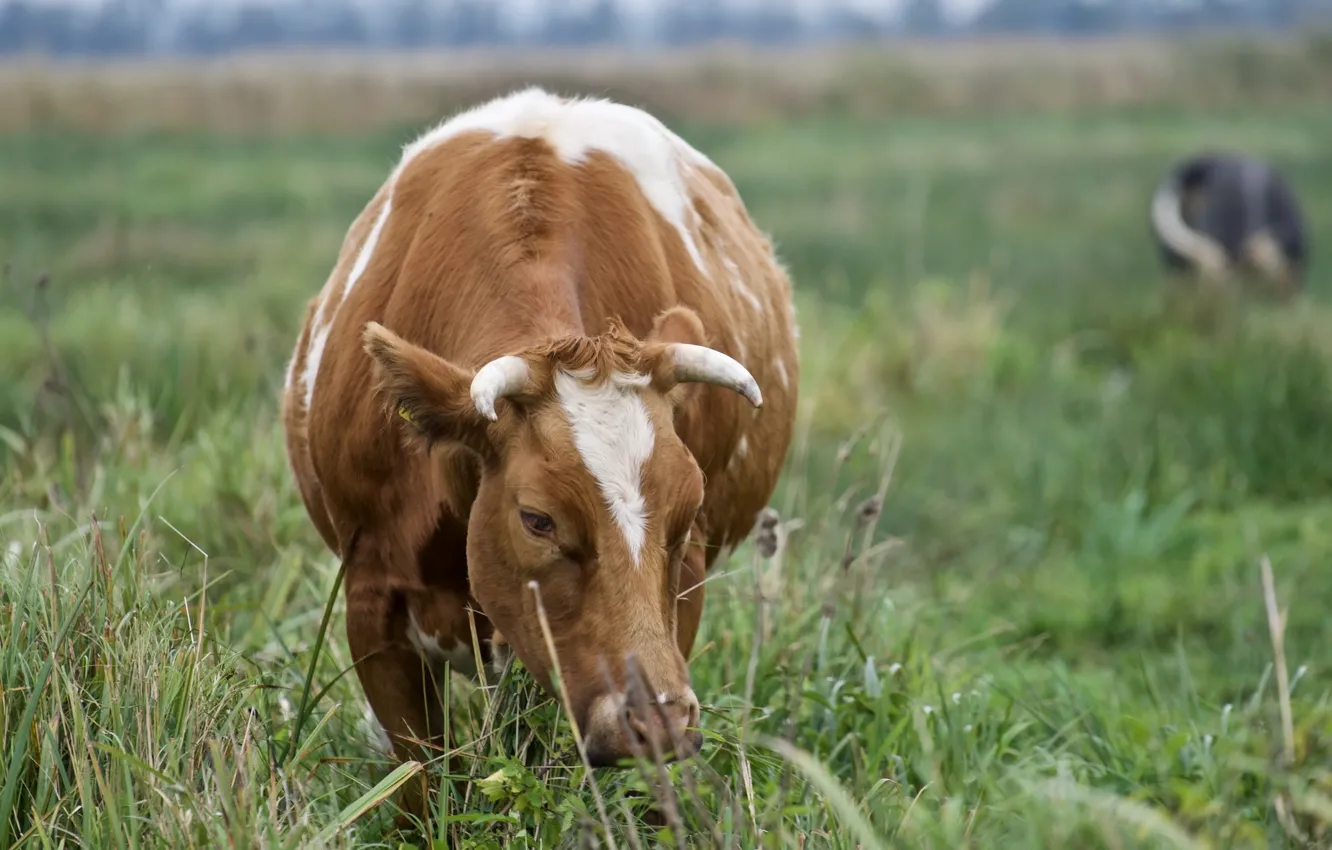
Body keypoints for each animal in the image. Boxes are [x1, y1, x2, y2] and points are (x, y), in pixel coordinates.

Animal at [279, 87, 800, 819]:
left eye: (686, 511)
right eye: (537, 519)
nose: (656, 722)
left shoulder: (677, 601)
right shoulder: (370, 600)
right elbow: (419, 784)